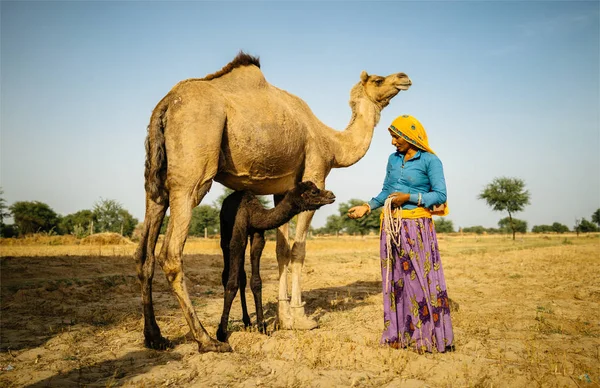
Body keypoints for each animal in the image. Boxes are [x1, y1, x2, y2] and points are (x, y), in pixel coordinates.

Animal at [217, 180, 338, 342]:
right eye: (314, 191)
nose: (331, 194)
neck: (253, 213)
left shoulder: (258, 235)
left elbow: (256, 282)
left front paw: (262, 327)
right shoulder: (237, 235)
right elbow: (231, 283)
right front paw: (222, 333)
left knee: (242, 277)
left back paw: (247, 321)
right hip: (225, 231)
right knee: (227, 274)